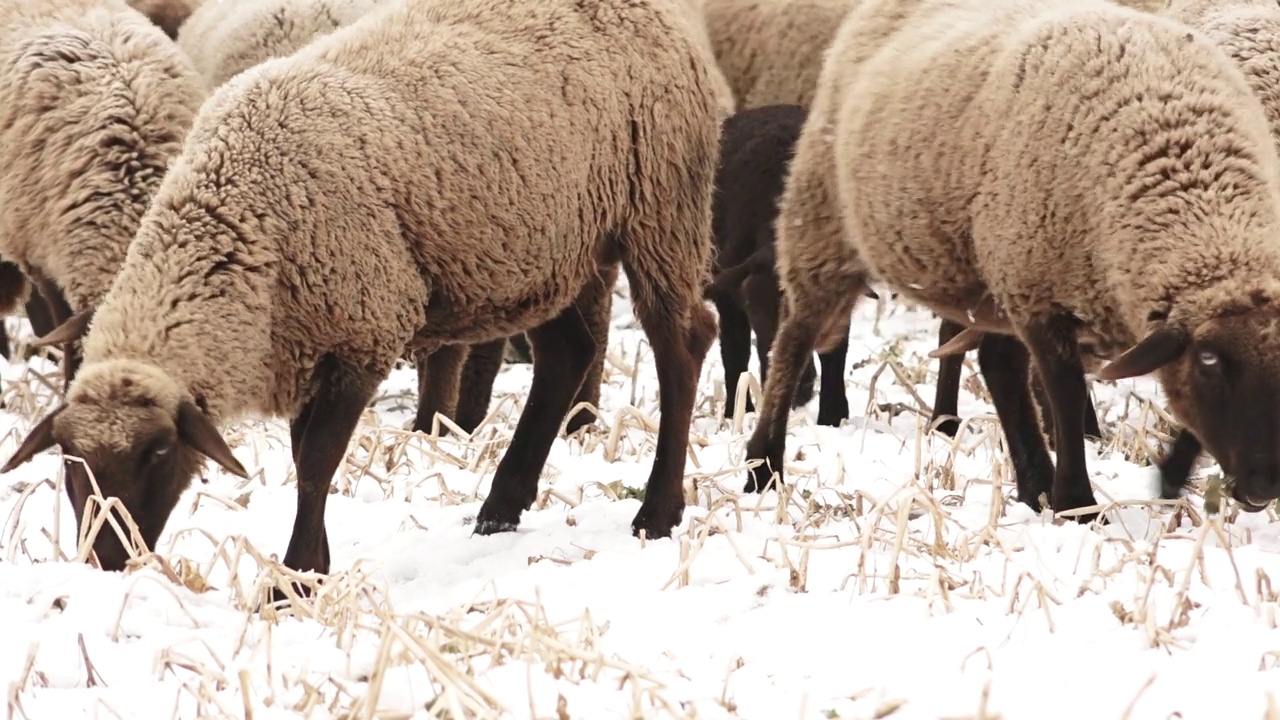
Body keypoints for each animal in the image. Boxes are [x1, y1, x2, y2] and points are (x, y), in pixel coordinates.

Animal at [701, 103, 849, 422]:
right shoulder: (729, 294)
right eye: (753, 308)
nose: (799, 389)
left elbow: (835, 353)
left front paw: (832, 417)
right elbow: (735, 351)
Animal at [742, 0, 1280, 517]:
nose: (1264, 486)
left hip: (994, 267)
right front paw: (1078, 505)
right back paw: (762, 466)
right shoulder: (1040, 293)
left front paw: (1161, 478)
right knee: (794, 339)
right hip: (822, 220)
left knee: (997, 365)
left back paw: (1032, 485)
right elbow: (1065, 398)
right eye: (1210, 360)